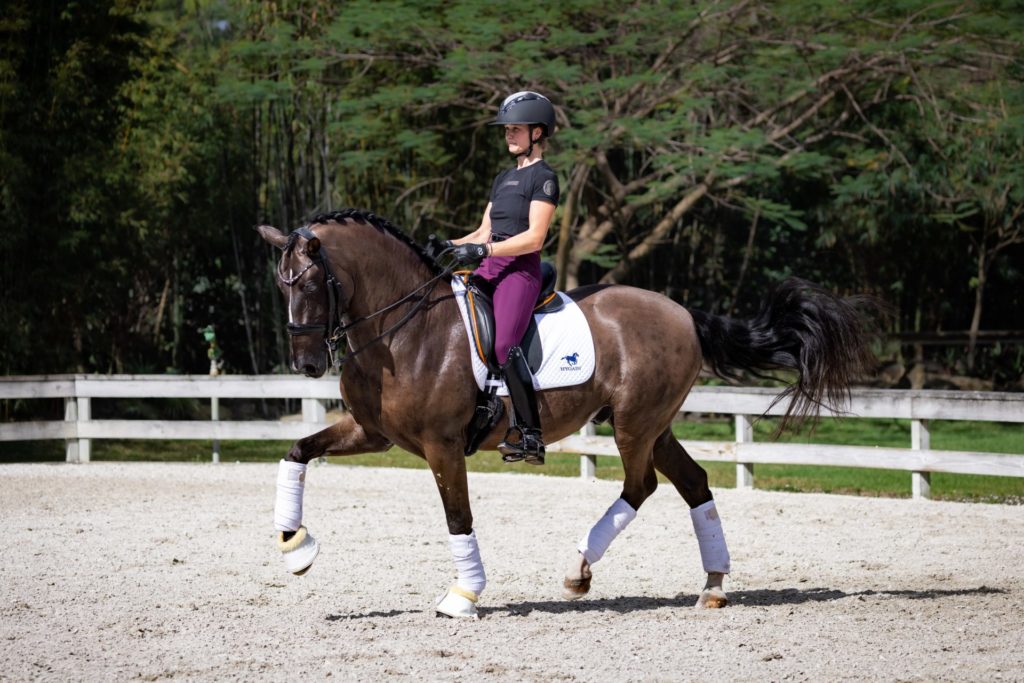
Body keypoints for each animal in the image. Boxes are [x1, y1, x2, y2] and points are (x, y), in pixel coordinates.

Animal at [256, 208, 872, 618]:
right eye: (280, 286)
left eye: (309, 283)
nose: (307, 363)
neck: (404, 331)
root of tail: (683, 312)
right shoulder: (373, 433)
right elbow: (296, 452)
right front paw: (295, 547)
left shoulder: (441, 445)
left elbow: (458, 518)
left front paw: (463, 596)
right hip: (655, 425)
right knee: (693, 483)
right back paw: (713, 586)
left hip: (632, 423)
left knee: (641, 485)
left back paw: (579, 571)